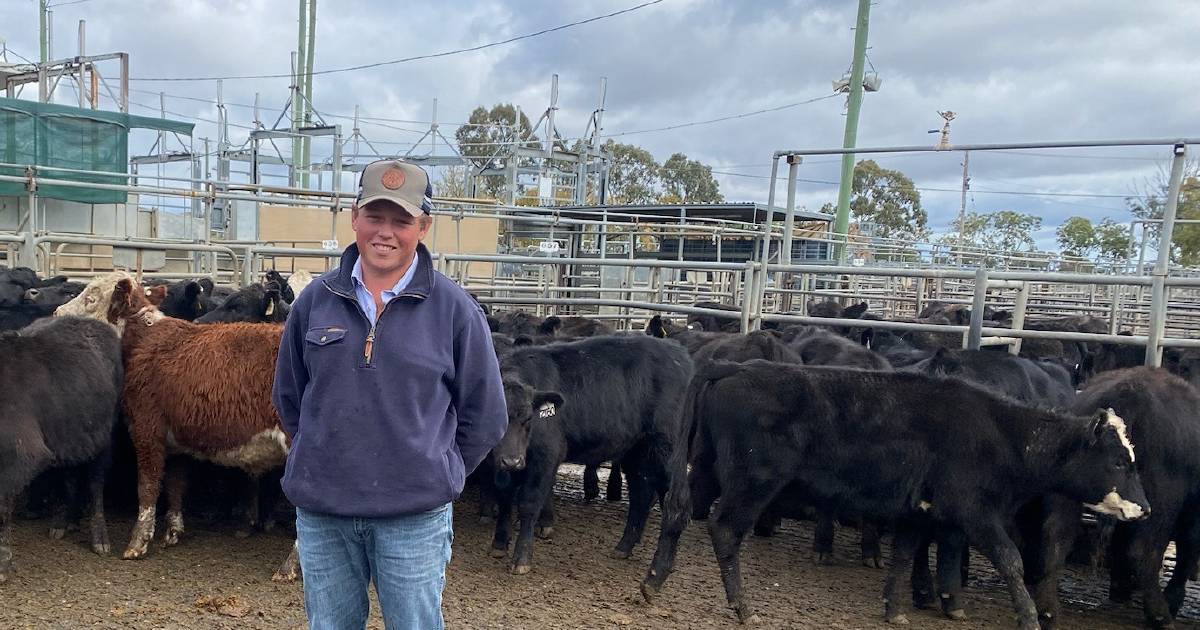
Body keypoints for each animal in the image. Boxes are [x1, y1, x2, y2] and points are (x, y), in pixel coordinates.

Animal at [0, 316, 123, 583]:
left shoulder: (20, 456)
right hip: (70, 437)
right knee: (70, 477)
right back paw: (65, 520)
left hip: (104, 437)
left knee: (95, 484)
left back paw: (99, 537)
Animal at [487, 333, 696, 600]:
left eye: (528, 419)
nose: (512, 461)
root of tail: (681, 355)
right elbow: (504, 498)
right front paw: (499, 544)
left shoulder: (546, 456)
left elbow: (528, 504)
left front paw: (521, 559)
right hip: (637, 452)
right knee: (642, 496)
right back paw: (625, 548)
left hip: (667, 450)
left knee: (676, 505)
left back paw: (654, 578)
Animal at [686, 357, 1142, 624]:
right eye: (1119, 461)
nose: (1145, 508)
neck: (1000, 433)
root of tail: (737, 369)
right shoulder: (975, 512)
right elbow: (1009, 559)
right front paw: (1028, 617)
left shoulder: (919, 513)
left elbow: (903, 558)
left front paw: (895, 610)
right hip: (753, 482)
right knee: (724, 529)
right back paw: (742, 607)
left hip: (713, 471)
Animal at [1032, 364, 1200, 624]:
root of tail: (1130, 393)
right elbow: (1187, 549)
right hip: (1161, 503)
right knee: (1145, 550)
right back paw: (1160, 615)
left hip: (1069, 493)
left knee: (1056, 534)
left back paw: (1047, 608)